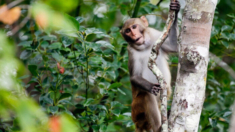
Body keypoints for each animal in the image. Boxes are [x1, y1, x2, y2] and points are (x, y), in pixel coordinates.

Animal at [120, 0, 181, 131]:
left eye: (134, 27)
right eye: (127, 31)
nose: (133, 34)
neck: (145, 45)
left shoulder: (155, 35)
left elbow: (173, 46)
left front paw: (176, 8)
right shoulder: (131, 52)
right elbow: (135, 77)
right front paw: (151, 87)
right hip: (136, 111)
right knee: (146, 96)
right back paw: (159, 127)